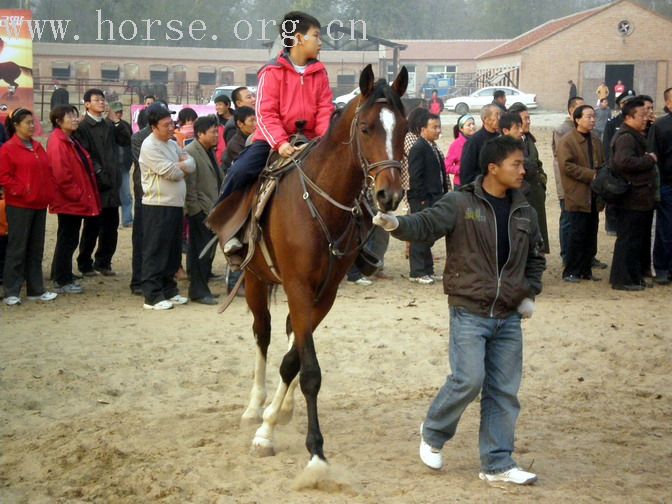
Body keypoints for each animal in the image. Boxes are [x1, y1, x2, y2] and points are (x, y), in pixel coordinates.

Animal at [210, 63, 406, 468]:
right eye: (367, 128)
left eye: (404, 127)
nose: (389, 194)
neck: (320, 204)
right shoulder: (298, 286)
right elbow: (308, 368)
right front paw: (308, 447)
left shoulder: (324, 293)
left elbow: (294, 361)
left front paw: (275, 421)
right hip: (254, 279)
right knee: (263, 333)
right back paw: (255, 406)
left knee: (288, 335)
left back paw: (281, 407)